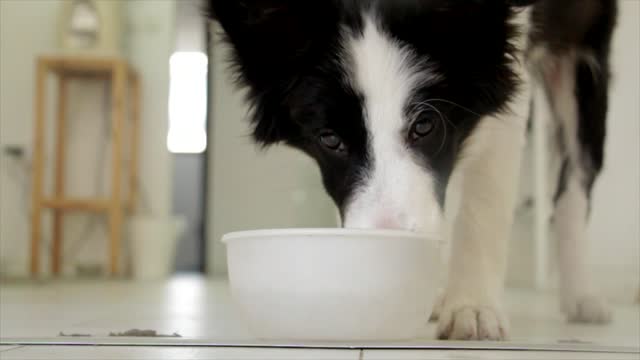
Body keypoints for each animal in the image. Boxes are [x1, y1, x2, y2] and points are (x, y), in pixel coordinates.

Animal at [208, 0, 616, 340]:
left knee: (574, 184)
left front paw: (472, 307)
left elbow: (484, 201)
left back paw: (582, 296)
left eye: (425, 126)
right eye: (330, 139)